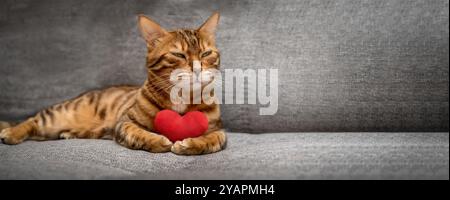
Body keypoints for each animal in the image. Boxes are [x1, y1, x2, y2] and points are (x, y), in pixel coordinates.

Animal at [0, 12, 225, 155]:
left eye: (206, 54)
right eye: (178, 55)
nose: (198, 68)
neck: (181, 99)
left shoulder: (218, 128)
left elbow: (215, 139)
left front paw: (190, 144)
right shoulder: (125, 122)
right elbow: (139, 133)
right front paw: (157, 140)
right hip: (58, 115)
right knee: (32, 120)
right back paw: (11, 132)